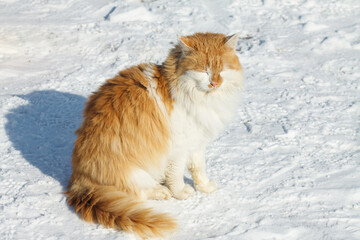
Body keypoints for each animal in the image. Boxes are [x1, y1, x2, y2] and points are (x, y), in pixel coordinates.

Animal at [65, 31, 243, 238]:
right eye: (204, 71)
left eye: (221, 70)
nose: (214, 83)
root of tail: (78, 179)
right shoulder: (178, 149)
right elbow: (176, 176)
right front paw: (181, 193)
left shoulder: (196, 143)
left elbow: (199, 170)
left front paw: (205, 188)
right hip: (134, 172)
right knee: (137, 193)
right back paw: (161, 192)